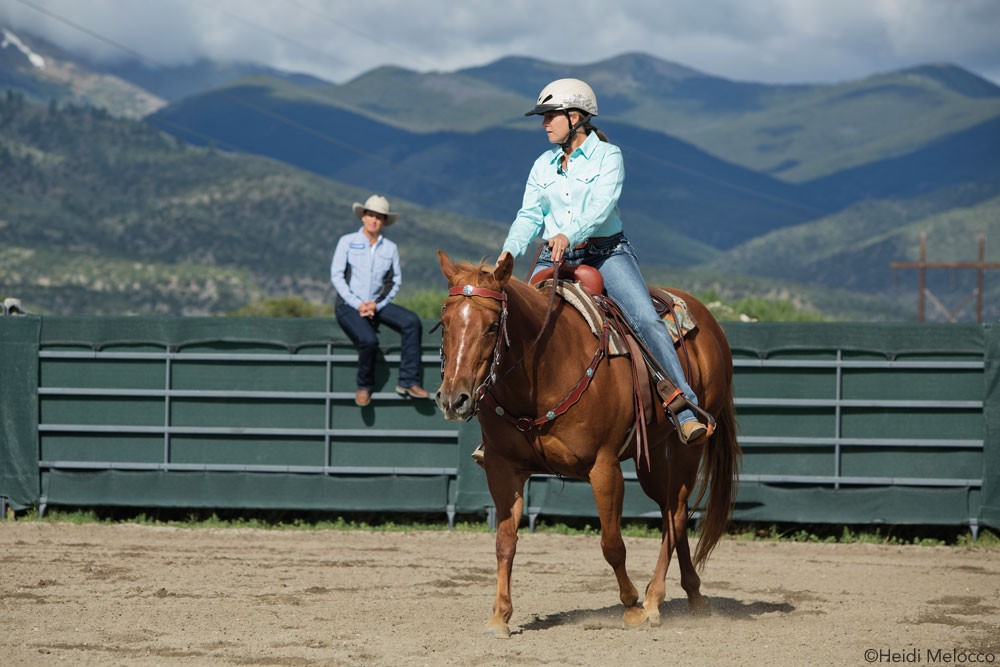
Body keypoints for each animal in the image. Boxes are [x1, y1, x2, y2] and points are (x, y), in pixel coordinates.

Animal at [434, 252, 740, 636]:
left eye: (492, 326)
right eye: (444, 323)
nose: (453, 399)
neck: (546, 370)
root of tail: (710, 321)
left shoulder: (604, 467)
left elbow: (612, 544)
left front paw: (632, 608)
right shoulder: (502, 468)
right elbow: (505, 542)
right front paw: (500, 617)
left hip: (688, 446)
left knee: (678, 511)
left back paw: (653, 599)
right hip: (652, 454)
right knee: (671, 510)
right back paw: (693, 594)